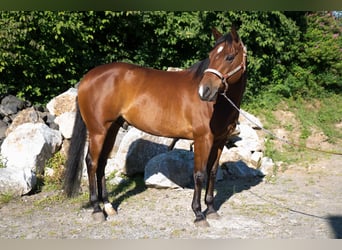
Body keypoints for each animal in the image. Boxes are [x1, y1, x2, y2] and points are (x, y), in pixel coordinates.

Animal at [63, 26, 246, 226]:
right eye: (211, 56)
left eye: (229, 57)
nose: (204, 91)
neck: (218, 104)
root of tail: (88, 78)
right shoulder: (202, 139)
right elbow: (199, 174)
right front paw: (198, 214)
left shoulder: (220, 140)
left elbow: (212, 172)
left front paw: (211, 209)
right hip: (98, 131)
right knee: (92, 162)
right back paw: (97, 209)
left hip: (111, 129)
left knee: (102, 163)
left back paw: (108, 206)